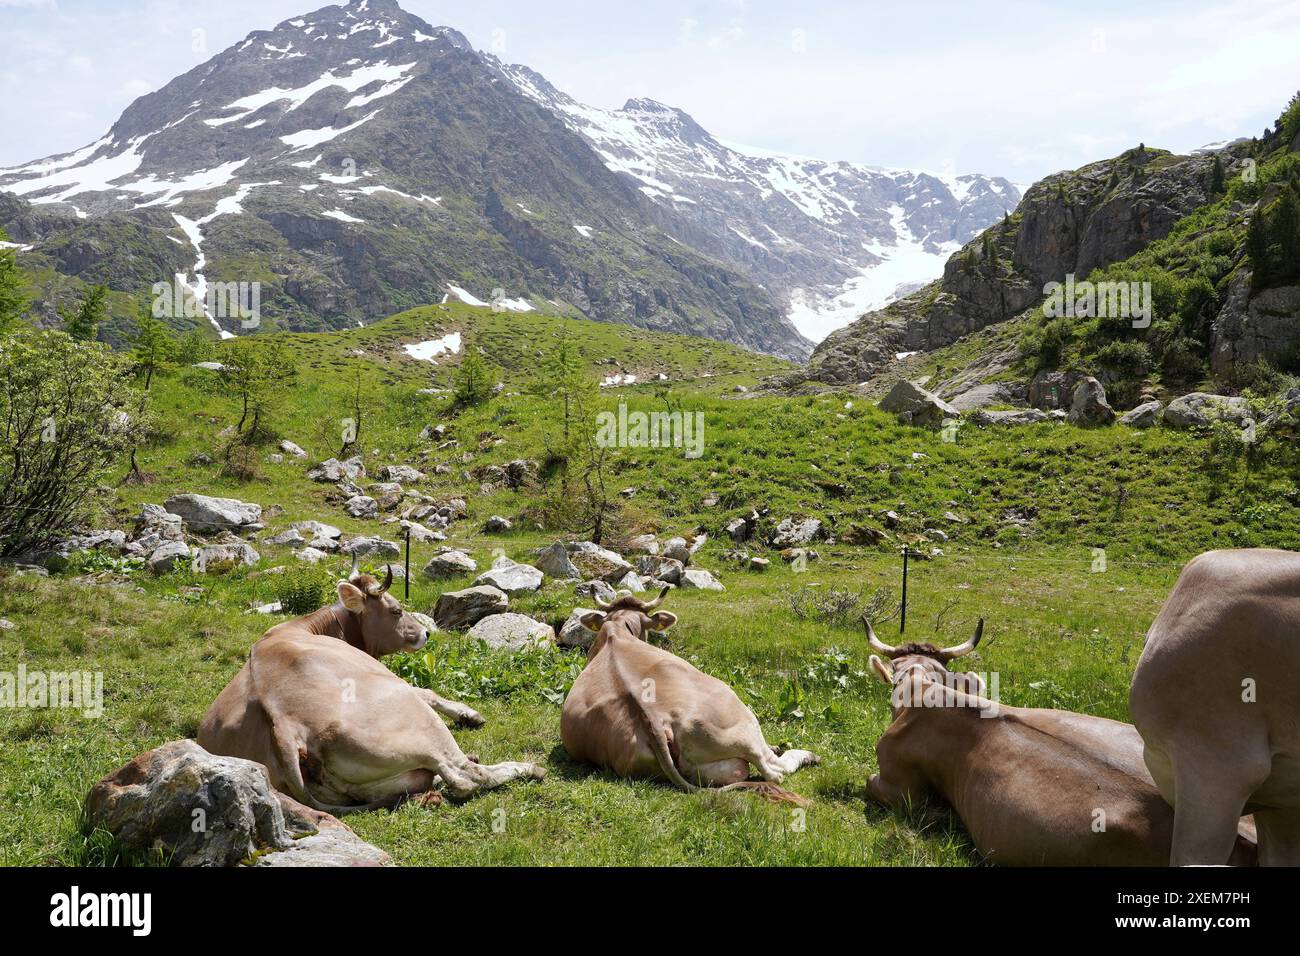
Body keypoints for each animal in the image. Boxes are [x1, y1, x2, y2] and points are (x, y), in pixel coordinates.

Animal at [198, 567, 545, 811]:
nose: (425, 634)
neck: (302, 628)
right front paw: (468, 713)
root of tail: (284, 725)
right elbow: (427, 691)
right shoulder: (393, 680)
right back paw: (526, 767)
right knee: (464, 776)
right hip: (418, 721)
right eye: (396, 610)